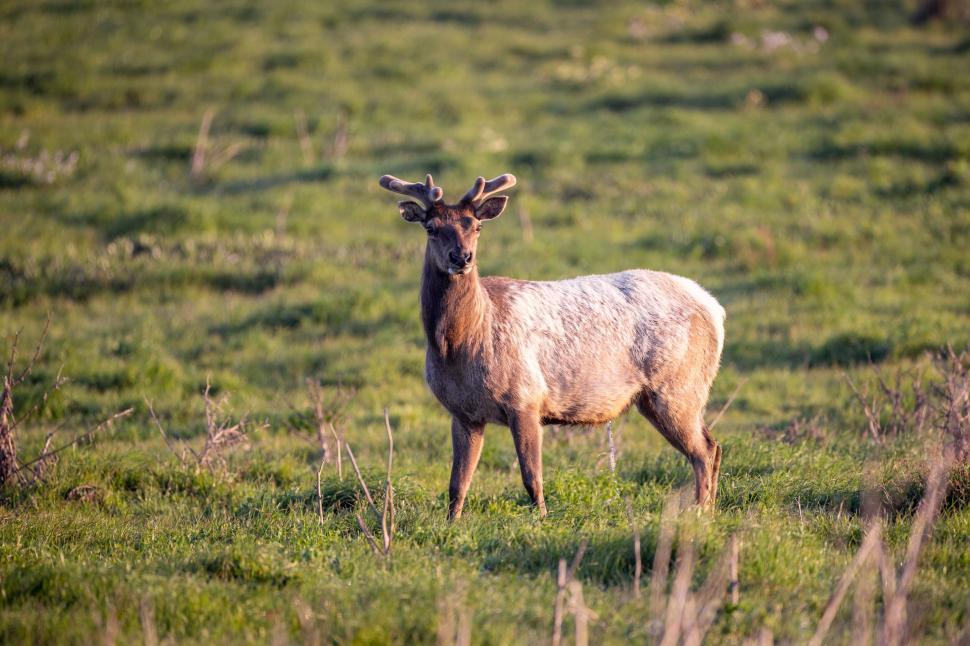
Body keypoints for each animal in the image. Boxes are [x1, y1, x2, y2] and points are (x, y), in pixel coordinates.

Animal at [379, 172, 726, 520]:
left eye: (476, 226)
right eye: (431, 227)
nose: (461, 257)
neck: (463, 344)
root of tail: (714, 308)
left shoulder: (525, 397)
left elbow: (531, 476)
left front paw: (542, 520)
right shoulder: (462, 412)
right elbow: (457, 483)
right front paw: (452, 523)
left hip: (678, 386)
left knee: (704, 450)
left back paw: (699, 513)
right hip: (666, 394)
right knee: (714, 446)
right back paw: (707, 512)